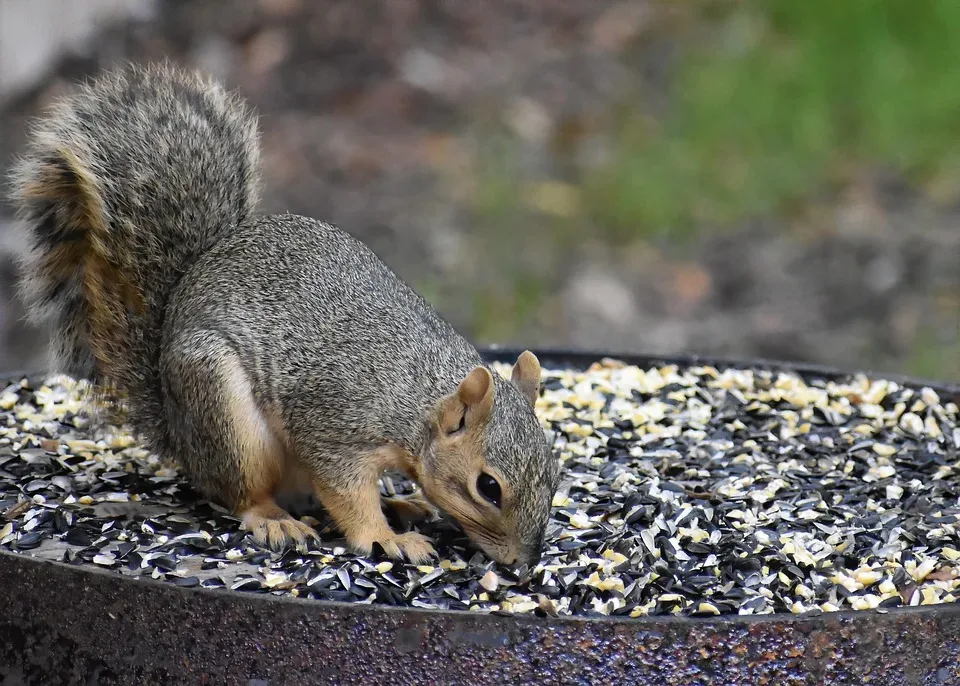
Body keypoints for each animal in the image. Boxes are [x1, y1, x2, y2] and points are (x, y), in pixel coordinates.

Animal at [7, 63, 560, 568]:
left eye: (555, 474)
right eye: (488, 487)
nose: (523, 564)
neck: (415, 397)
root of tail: (179, 432)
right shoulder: (334, 429)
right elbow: (345, 493)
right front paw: (384, 539)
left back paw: (401, 505)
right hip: (223, 410)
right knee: (243, 492)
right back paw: (276, 519)